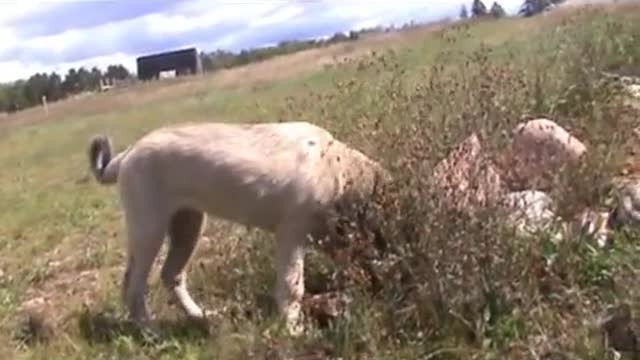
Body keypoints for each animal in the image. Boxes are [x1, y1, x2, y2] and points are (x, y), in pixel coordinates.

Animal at [87, 121, 388, 334]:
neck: (339, 172)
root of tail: (127, 154)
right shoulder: (291, 234)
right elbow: (292, 286)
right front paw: (293, 330)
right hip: (149, 228)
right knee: (134, 286)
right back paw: (151, 331)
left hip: (189, 224)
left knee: (171, 275)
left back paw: (200, 316)